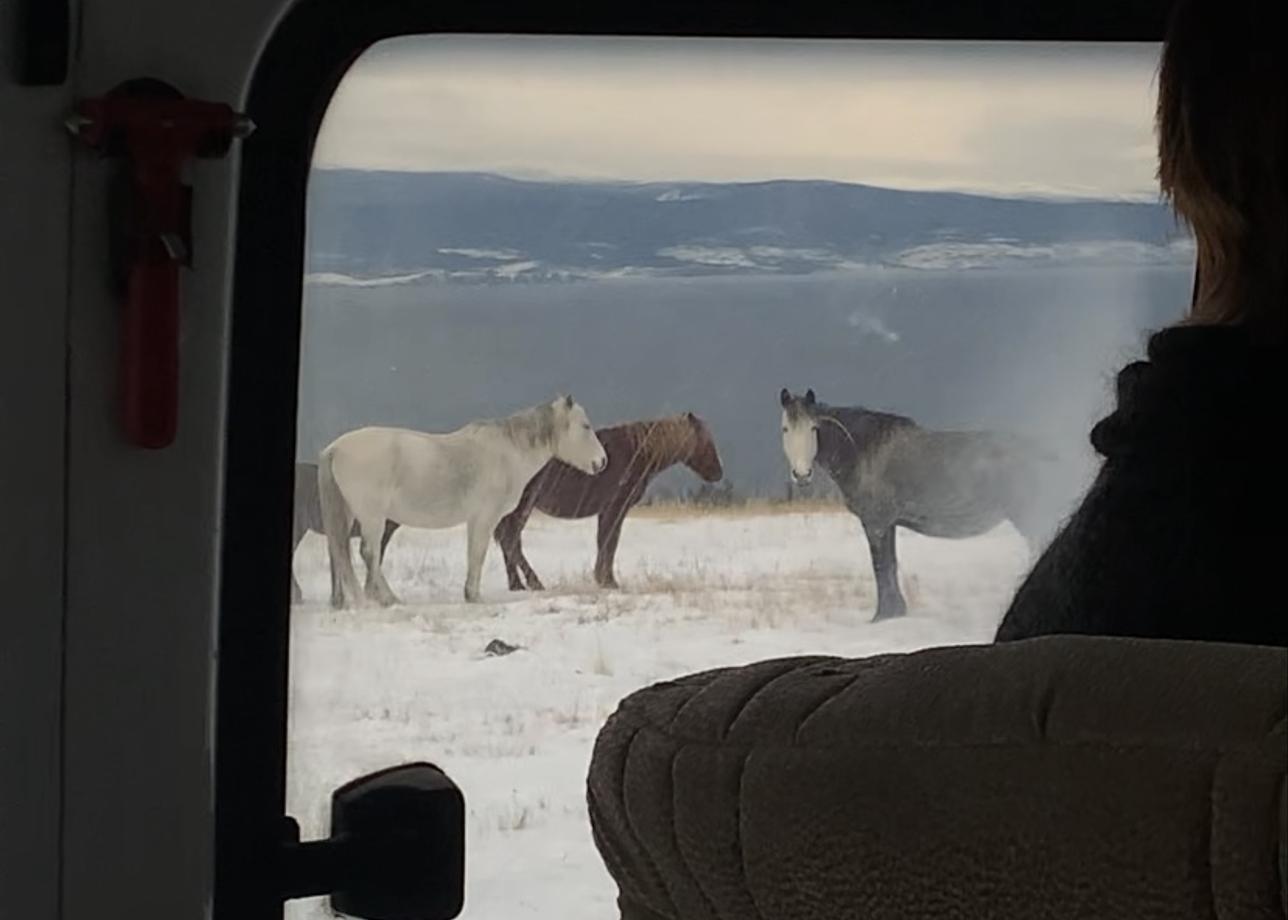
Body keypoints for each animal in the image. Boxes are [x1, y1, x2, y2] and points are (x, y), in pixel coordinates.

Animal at [319, 391, 605, 603]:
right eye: (586, 426)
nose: (601, 462)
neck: (508, 453)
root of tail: (335, 448)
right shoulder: (484, 518)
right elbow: (477, 554)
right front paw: (473, 595)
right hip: (372, 516)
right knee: (368, 553)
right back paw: (380, 599)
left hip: (349, 513)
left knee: (340, 550)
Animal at [492, 409, 726, 587]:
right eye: (705, 442)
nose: (718, 473)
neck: (637, 452)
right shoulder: (615, 507)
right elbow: (609, 542)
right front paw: (608, 581)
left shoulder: (609, 510)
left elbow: (604, 542)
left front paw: (603, 579)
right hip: (522, 506)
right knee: (510, 541)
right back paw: (533, 583)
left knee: (509, 542)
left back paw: (517, 585)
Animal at [777, 383, 1051, 621]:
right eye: (785, 429)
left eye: (813, 429)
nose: (802, 475)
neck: (862, 452)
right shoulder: (888, 525)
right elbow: (890, 564)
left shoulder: (876, 524)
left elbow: (881, 566)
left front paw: (883, 616)